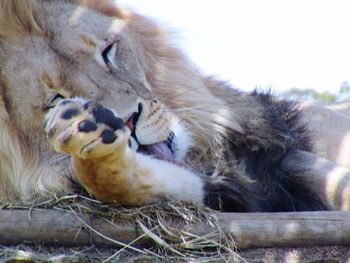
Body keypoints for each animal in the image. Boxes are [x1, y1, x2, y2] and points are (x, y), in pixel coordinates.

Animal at [0, 0, 350, 212]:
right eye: (56, 99)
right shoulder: (216, 191)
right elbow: (120, 183)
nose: (128, 122)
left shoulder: (283, 154)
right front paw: (92, 144)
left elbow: (335, 183)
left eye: (108, 51)